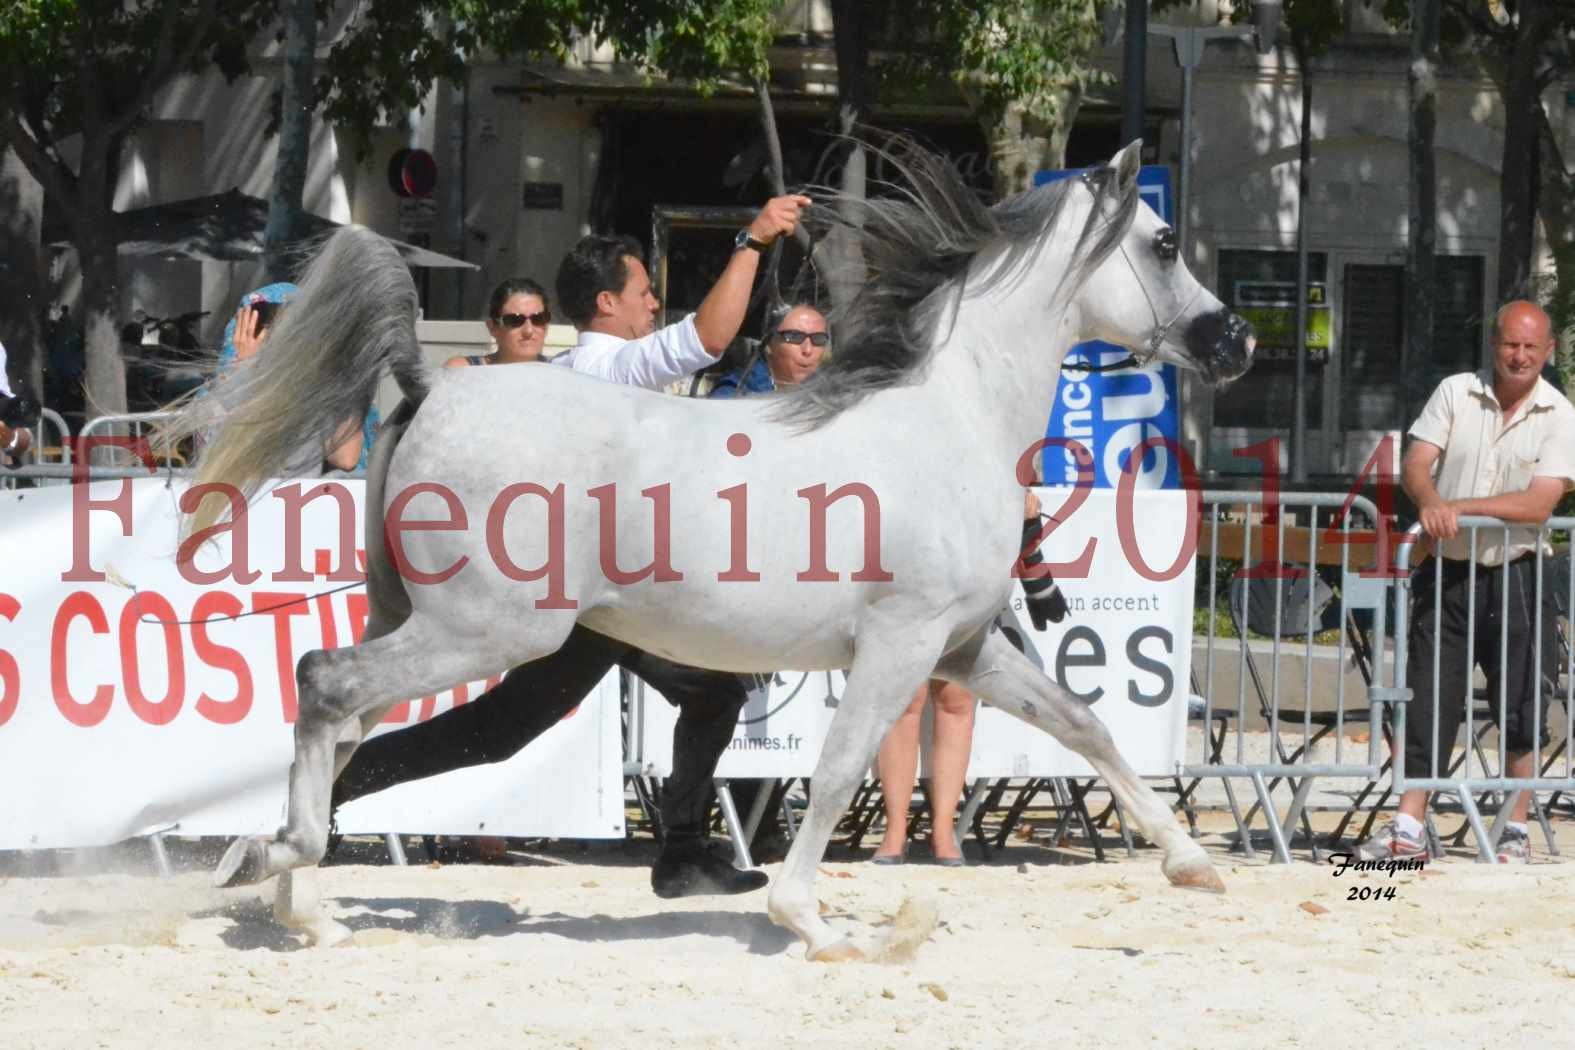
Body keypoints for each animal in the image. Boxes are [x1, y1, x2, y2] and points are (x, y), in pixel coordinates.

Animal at [169, 139, 1253, 963]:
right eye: (1164, 242)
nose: (1236, 341)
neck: (954, 417)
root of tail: (431, 384)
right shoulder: (901, 645)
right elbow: (842, 767)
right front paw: (813, 923)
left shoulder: (962, 646)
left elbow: (1083, 725)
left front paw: (1193, 864)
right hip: (488, 634)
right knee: (325, 682)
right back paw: (279, 862)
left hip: (429, 621)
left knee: (352, 726)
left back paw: (301, 902)